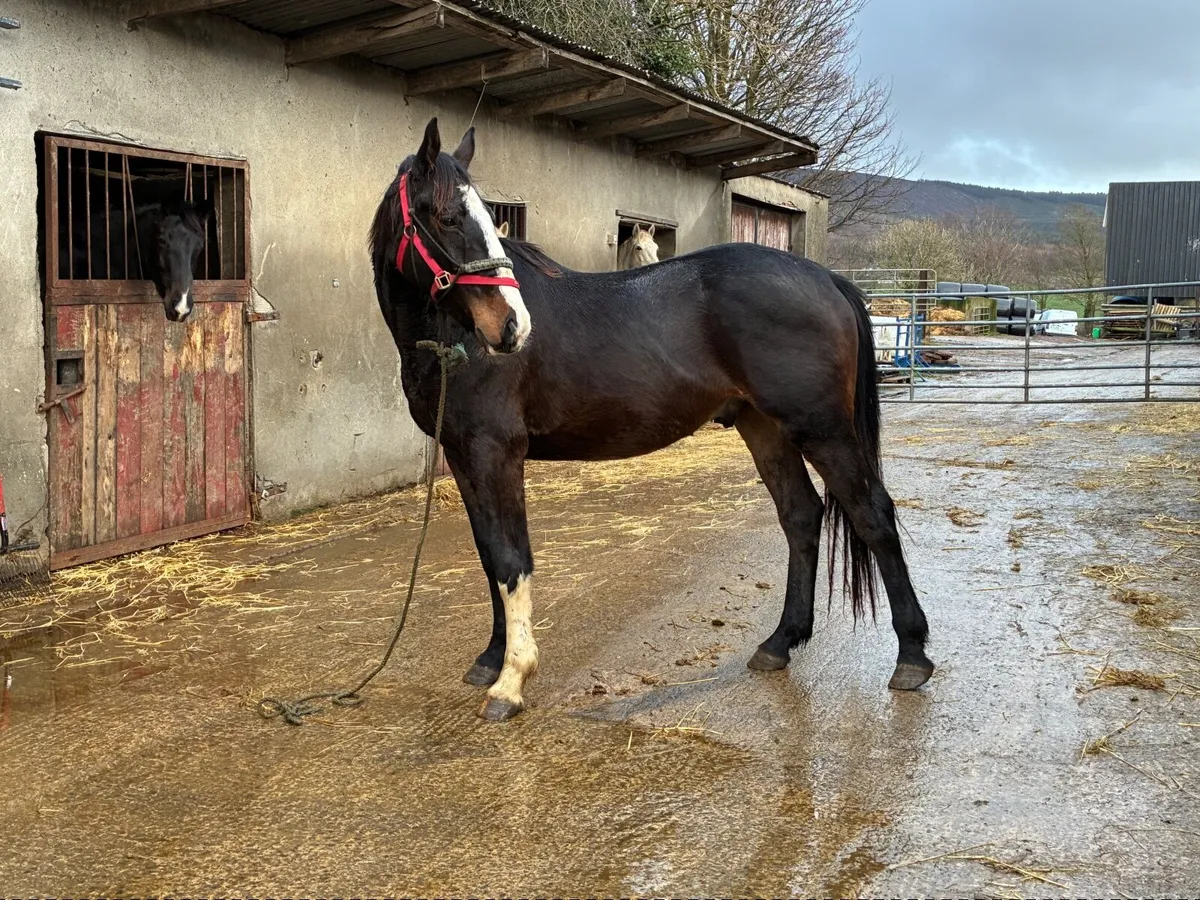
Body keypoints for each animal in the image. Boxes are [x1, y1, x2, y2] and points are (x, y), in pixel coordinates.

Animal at [369, 118, 934, 721]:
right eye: (448, 217)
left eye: (479, 217)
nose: (512, 327)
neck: (455, 339)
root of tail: (827, 279)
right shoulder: (462, 454)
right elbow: (487, 555)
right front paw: (491, 660)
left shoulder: (497, 454)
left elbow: (510, 557)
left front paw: (511, 680)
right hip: (766, 427)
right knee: (801, 516)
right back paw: (780, 643)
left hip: (822, 429)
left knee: (872, 514)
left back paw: (911, 657)